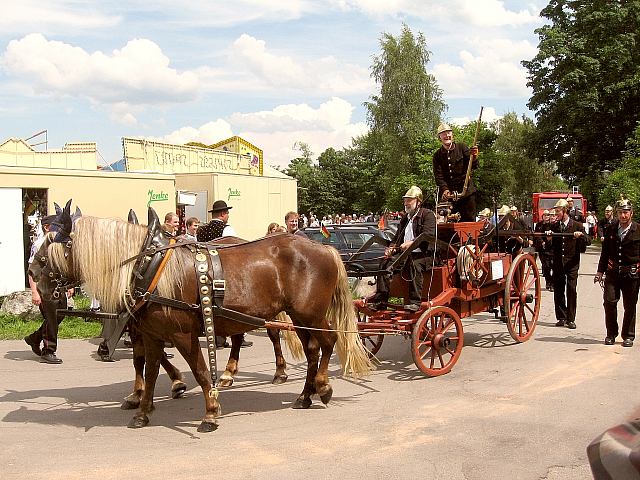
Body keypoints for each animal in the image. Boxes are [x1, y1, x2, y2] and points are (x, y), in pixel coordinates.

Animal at [48, 215, 370, 432]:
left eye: (59, 244)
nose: (37, 275)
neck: (153, 268)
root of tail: (324, 248)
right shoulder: (150, 333)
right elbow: (149, 369)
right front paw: (143, 406)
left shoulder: (182, 334)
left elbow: (200, 371)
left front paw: (210, 411)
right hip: (298, 317)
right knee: (312, 349)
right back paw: (304, 394)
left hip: (309, 314)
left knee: (328, 342)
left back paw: (321, 386)